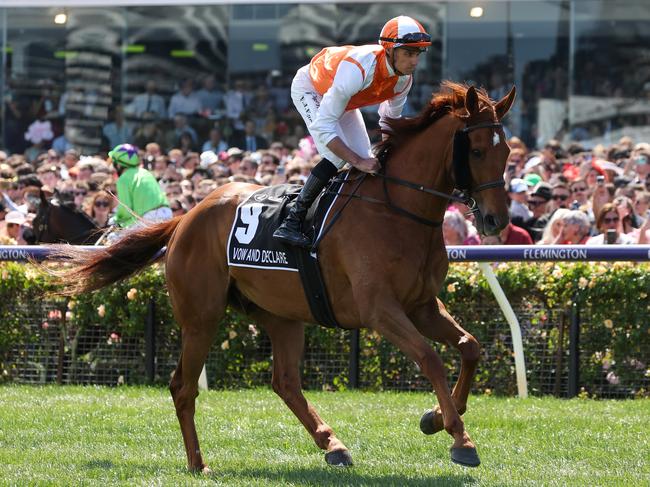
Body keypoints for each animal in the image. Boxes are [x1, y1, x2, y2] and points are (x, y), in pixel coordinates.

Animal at [53, 83, 512, 472]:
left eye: (506, 150)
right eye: (474, 150)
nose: (496, 219)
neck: (396, 210)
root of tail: (187, 216)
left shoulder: (421, 304)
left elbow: (471, 347)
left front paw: (436, 417)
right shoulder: (380, 309)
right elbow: (431, 357)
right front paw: (460, 439)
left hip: (282, 314)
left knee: (284, 382)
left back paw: (333, 445)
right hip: (201, 316)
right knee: (183, 387)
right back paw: (199, 463)